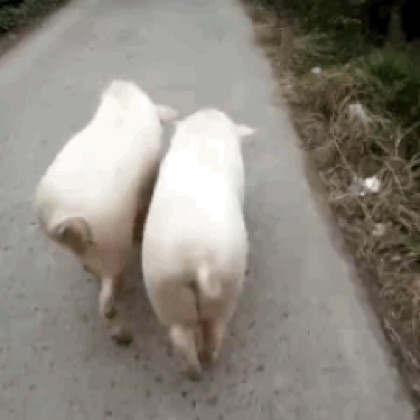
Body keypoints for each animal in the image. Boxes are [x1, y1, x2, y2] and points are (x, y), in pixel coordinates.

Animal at [141, 108, 255, 379]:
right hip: (228, 286)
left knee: (181, 336)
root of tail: (197, 259)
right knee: (214, 330)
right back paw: (207, 361)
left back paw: (193, 372)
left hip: (165, 286)